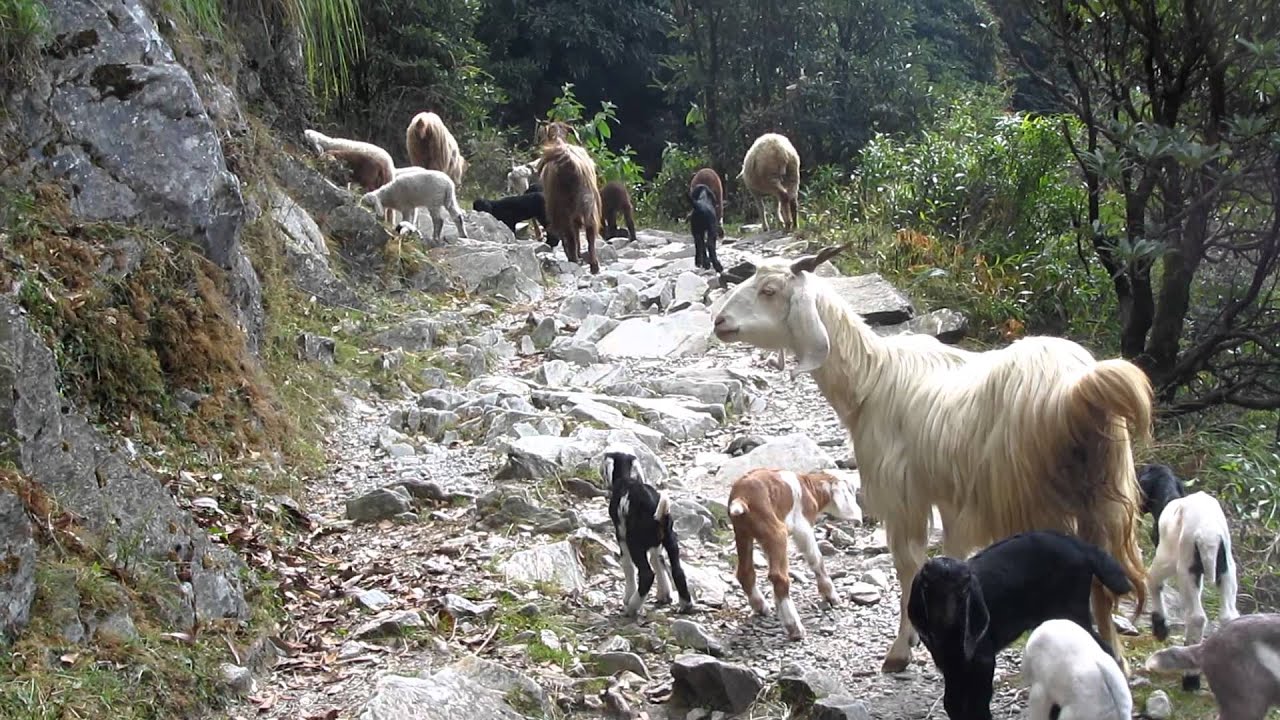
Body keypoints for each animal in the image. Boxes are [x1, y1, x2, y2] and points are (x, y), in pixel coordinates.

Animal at [539, 140, 603, 274]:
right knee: (589, 231)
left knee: (568, 233)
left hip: (561, 205)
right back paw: (593, 265)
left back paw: (573, 259)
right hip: (588, 201)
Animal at [603, 444, 693, 615]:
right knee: (677, 570)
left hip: (634, 541)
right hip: (670, 538)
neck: (625, 480)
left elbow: (627, 565)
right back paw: (686, 604)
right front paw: (664, 594)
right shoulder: (655, 544)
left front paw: (627, 596)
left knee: (646, 574)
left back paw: (632, 607)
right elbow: (657, 559)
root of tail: (658, 515)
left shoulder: (621, 534)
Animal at [728, 468, 860, 641]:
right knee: (779, 577)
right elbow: (816, 559)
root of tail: (742, 498)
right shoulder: (803, 528)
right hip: (776, 532)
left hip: (743, 533)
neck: (809, 487)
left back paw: (761, 606)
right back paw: (794, 627)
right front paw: (831, 595)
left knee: (745, 572)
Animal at [907, 531, 1133, 720]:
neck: (950, 636)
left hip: (1071, 609)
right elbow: (952, 702)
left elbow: (978, 700)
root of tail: (1077, 544)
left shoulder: (982, 657)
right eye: (927, 585)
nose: (946, 617)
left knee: (1102, 647)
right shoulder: (949, 662)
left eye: (964, 589)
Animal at [1140, 464, 1240, 690]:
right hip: (1227, 570)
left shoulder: (1165, 560)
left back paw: (1191, 678)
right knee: (1229, 616)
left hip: (1186, 568)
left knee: (1196, 617)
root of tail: (1209, 535)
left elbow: (1152, 581)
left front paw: (1160, 628)